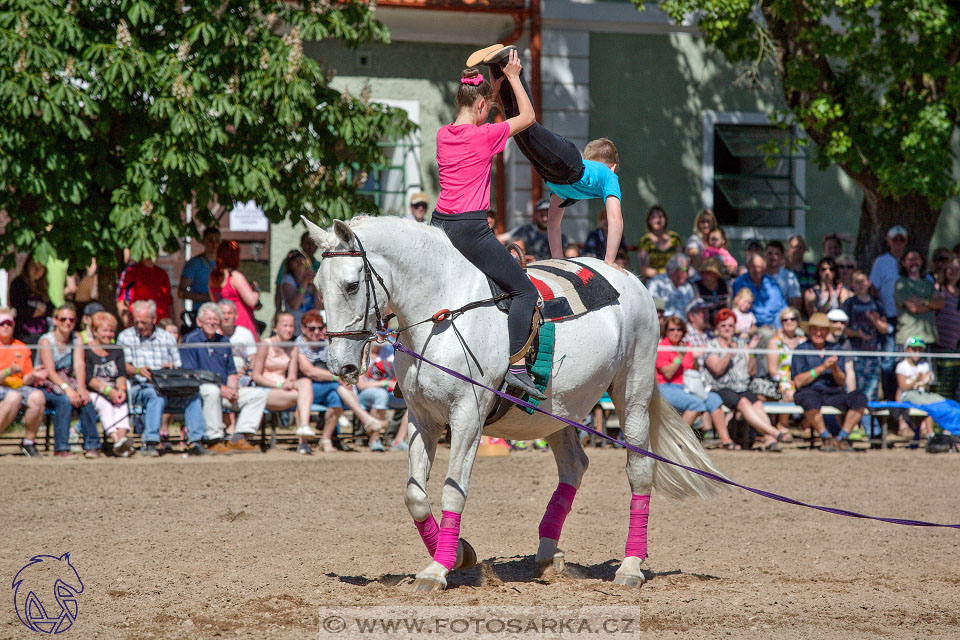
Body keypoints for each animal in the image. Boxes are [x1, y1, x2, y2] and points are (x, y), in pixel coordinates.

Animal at [304, 215, 724, 592]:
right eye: (317, 286)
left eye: (352, 285)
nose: (339, 365)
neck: (442, 313)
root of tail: (629, 278)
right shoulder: (423, 420)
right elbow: (415, 496)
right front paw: (459, 554)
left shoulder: (467, 418)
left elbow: (452, 490)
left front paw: (437, 570)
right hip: (558, 411)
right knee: (574, 467)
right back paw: (548, 555)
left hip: (631, 395)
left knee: (639, 471)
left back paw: (630, 567)